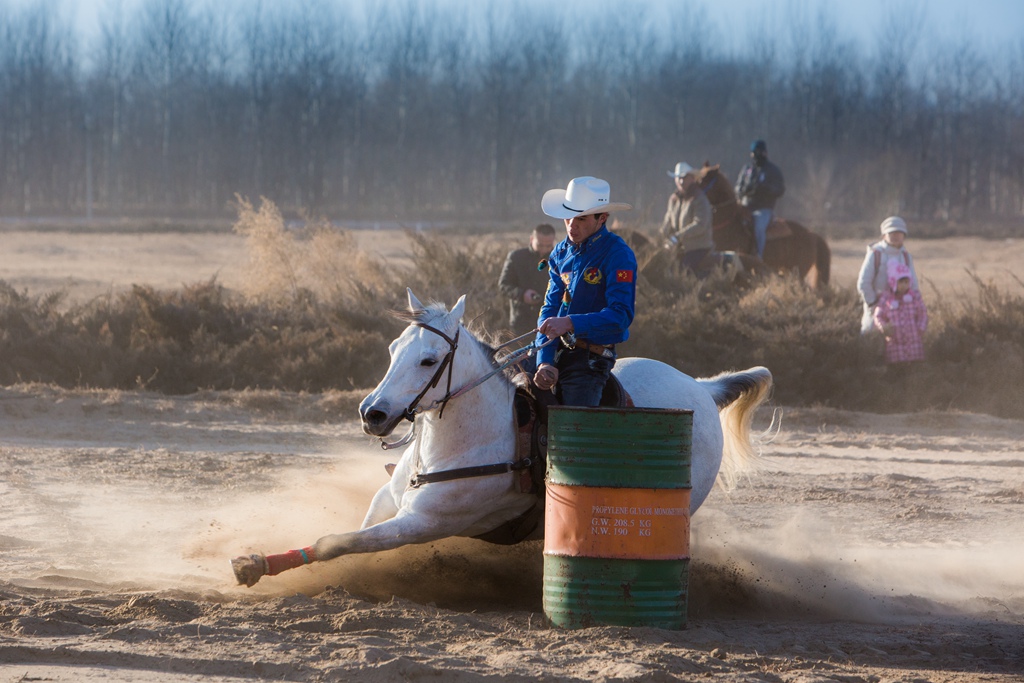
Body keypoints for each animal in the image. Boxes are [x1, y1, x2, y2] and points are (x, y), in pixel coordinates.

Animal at [232, 290, 770, 589]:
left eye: (429, 359)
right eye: (393, 348)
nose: (373, 414)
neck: (464, 442)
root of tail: (702, 388)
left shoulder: (423, 523)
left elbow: (336, 542)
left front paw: (256, 565)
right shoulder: (388, 497)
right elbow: (353, 529)